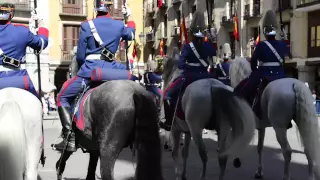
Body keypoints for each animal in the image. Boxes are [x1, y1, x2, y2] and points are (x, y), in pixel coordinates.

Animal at [164, 50, 256, 180]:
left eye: (165, 68)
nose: (163, 82)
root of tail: (213, 86)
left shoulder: (176, 129)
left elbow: (175, 153)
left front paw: (178, 175)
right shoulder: (186, 131)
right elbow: (185, 153)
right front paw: (183, 174)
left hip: (196, 129)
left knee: (204, 155)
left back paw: (202, 176)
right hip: (223, 129)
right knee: (222, 157)